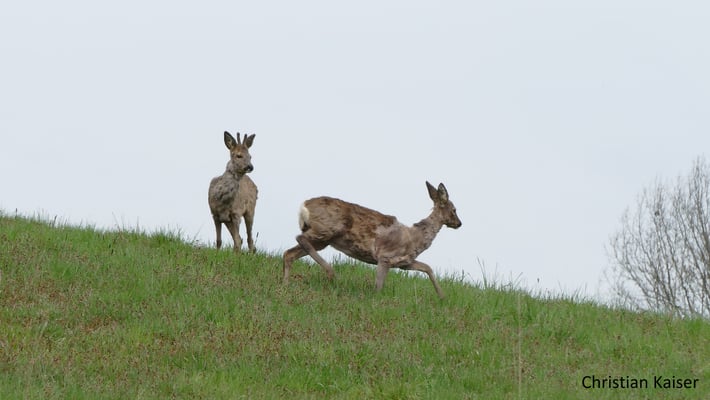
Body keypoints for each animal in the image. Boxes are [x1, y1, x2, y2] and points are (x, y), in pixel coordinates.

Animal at [282, 181, 461, 298]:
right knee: (299, 239)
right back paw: (331, 273)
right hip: (326, 229)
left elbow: (427, 267)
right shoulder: (385, 256)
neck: (415, 238)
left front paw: (442, 296)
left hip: (323, 239)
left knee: (289, 252)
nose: (459, 223)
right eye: (454, 209)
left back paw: (286, 284)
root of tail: (303, 206)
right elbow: (378, 286)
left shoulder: (404, 263)